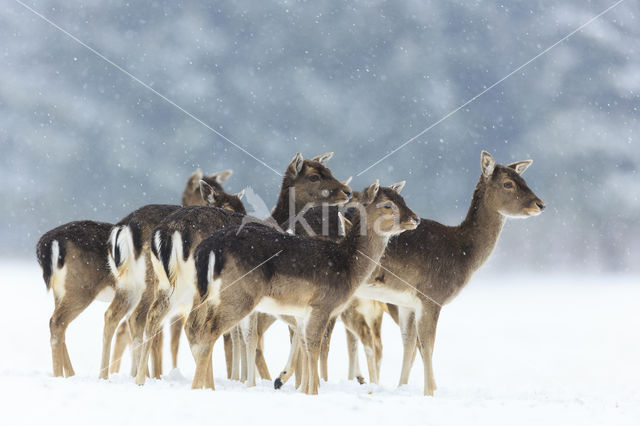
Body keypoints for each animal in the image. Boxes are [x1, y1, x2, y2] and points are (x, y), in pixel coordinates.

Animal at [190, 181, 420, 394]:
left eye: (403, 199)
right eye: (388, 205)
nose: (415, 219)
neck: (348, 267)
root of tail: (208, 248)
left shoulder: (302, 312)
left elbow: (305, 347)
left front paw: (304, 389)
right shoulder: (322, 305)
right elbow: (314, 347)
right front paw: (312, 391)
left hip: (212, 296)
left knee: (204, 332)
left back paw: (209, 386)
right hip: (238, 294)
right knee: (207, 333)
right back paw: (198, 388)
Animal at [356, 151, 544, 396]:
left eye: (524, 179)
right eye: (508, 183)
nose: (540, 204)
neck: (462, 252)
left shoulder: (406, 302)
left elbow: (409, 344)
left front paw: (404, 387)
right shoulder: (431, 295)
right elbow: (427, 346)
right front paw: (430, 392)